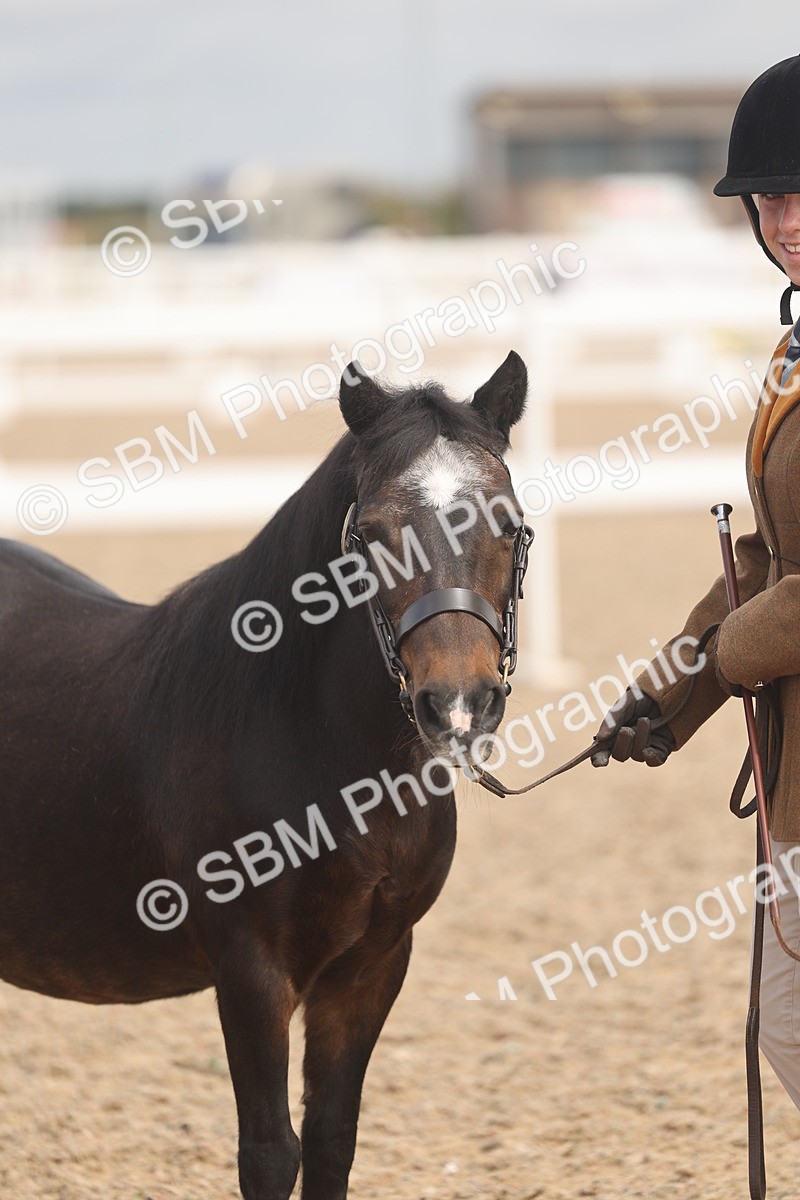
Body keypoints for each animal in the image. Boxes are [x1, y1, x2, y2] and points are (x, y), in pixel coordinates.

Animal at [0, 350, 530, 1199]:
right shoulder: (251, 970)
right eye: (370, 533)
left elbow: (331, 1139)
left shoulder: (372, 965)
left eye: (507, 523)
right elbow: (271, 1152)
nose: (457, 703)